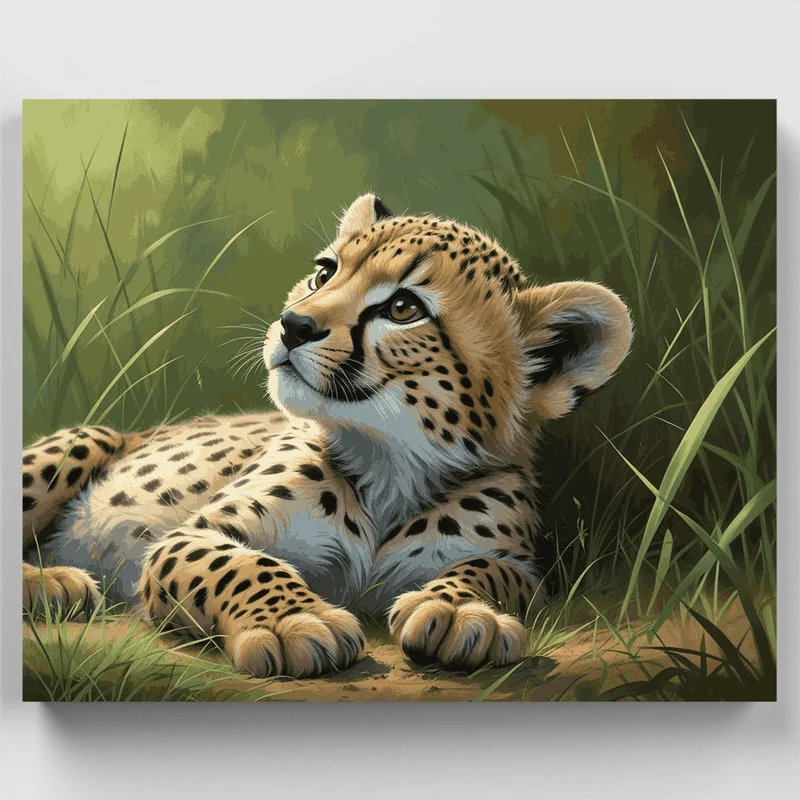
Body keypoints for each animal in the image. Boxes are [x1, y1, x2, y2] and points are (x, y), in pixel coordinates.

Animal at [21, 193, 633, 678]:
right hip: (84, 441)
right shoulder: (190, 536)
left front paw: (461, 611)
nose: (294, 324)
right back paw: (51, 582)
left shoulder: (518, 565)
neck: (389, 464)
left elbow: (489, 570)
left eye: (404, 307)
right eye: (324, 273)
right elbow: (242, 566)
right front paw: (295, 618)